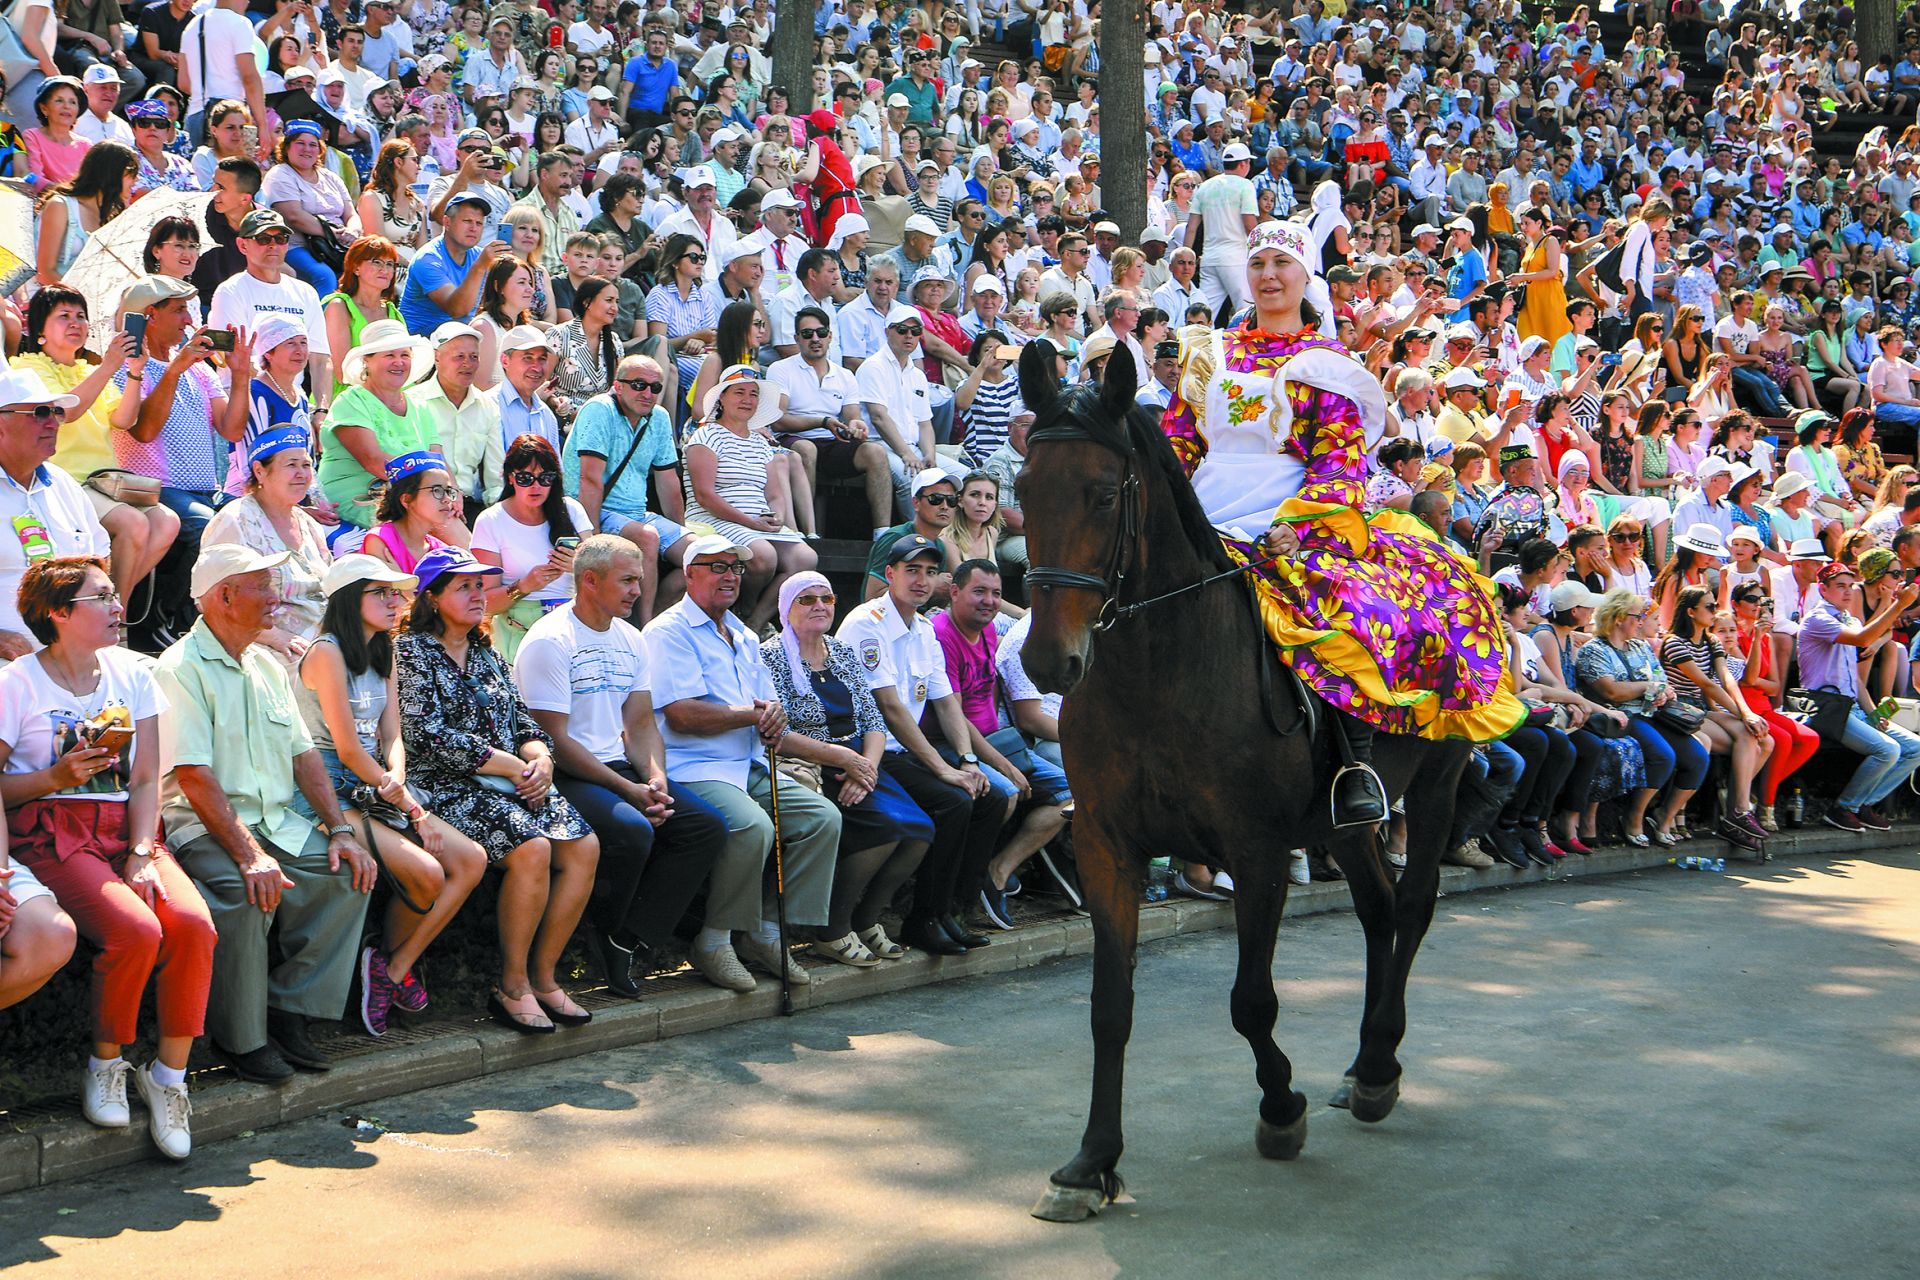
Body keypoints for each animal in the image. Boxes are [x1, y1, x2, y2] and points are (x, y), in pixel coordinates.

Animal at [1013, 347, 1474, 1220]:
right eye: (1021, 490)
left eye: (1103, 493)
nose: (1049, 662)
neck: (1160, 674)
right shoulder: (1106, 847)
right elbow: (1109, 1008)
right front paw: (1091, 1163)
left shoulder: (1255, 851)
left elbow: (1250, 1000)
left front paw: (1281, 1108)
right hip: (1344, 825)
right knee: (1378, 908)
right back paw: (1362, 1067)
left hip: (1439, 780)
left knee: (1414, 906)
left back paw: (1379, 1069)